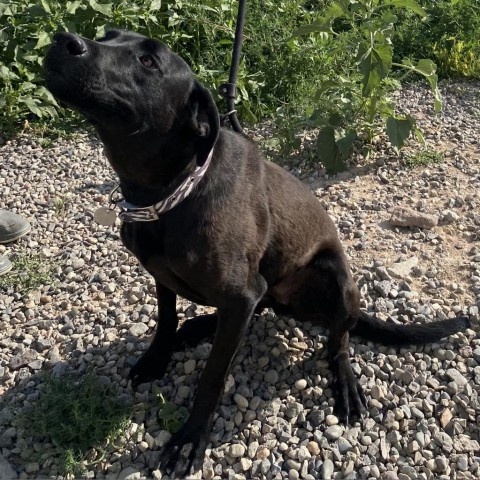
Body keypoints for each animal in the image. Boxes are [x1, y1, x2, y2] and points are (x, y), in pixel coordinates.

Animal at [45, 30, 468, 476]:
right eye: (107, 36)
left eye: (148, 62)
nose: (63, 40)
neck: (172, 194)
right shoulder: (165, 276)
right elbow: (165, 321)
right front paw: (156, 358)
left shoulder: (240, 294)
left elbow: (213, 375)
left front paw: (191, 439)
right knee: (264, 309)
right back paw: (198, 327)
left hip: (336, 278)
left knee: (339, 340)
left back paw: (346, 383)